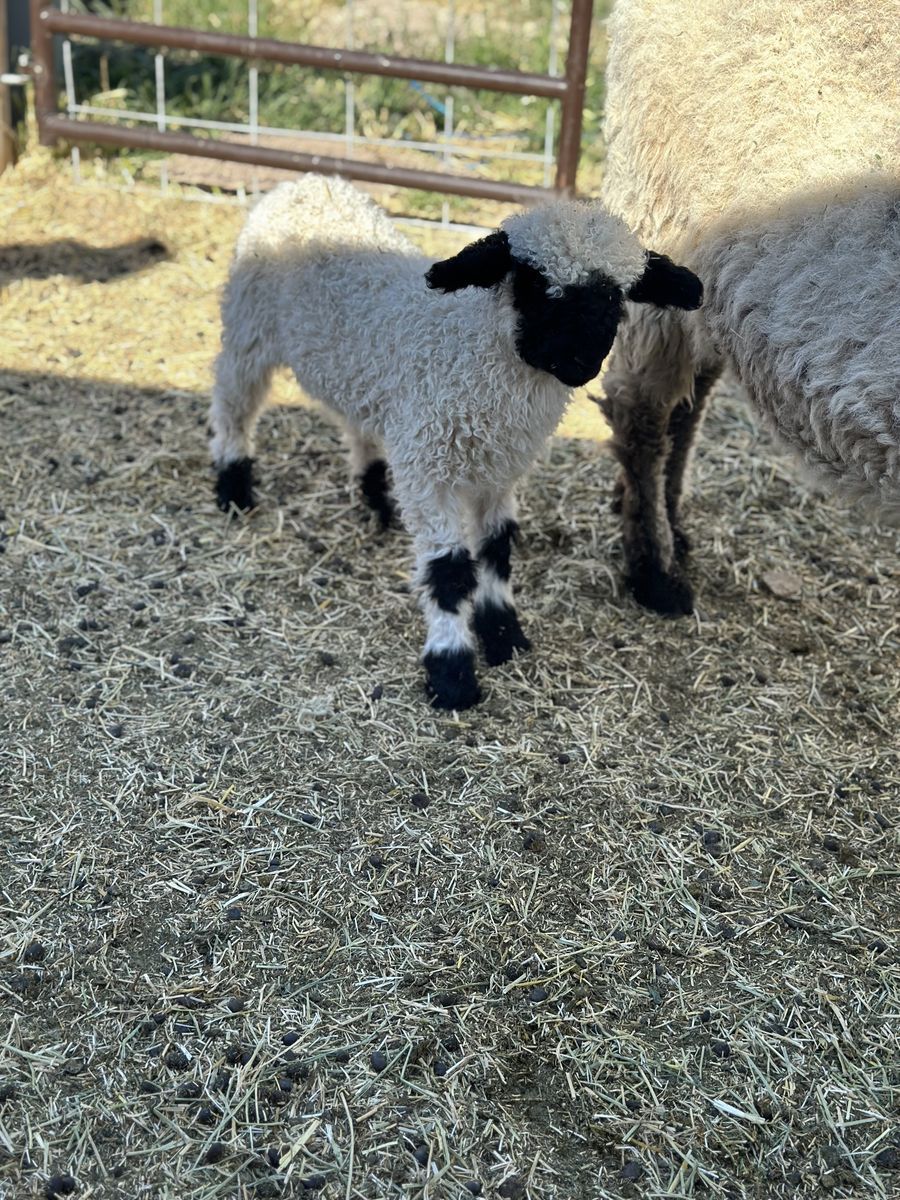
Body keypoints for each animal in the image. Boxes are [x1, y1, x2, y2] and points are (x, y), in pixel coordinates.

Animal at [209, 175, 702, 709]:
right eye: (531, 283)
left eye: (616, 297)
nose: (578, 361)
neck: (466, 352)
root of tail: (308, 183)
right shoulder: (430, 470)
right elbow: (448, 571)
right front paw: (452, 672)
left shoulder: (499, 471)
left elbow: (497, 549)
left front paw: (503, 633)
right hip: (249, 325)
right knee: (232, 402)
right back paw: (233, 485)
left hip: (355, 372)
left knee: (354, 421)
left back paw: (376, 495)